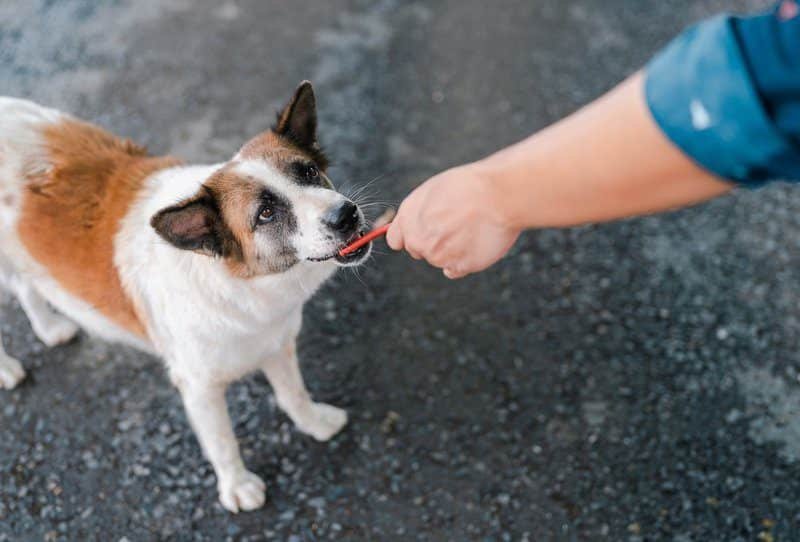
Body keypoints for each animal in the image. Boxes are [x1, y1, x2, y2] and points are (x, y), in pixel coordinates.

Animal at [0, 82, 372, 516]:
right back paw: (7, 368)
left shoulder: (275, 343)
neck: (234, 279)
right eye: (265, 213)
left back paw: (50, 328)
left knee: (26, 286)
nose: (346, 215)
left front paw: (313, 423)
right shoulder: (198, 387)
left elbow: (292, 393)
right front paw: (237, 487)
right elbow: (223, 442)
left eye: (309, 172)